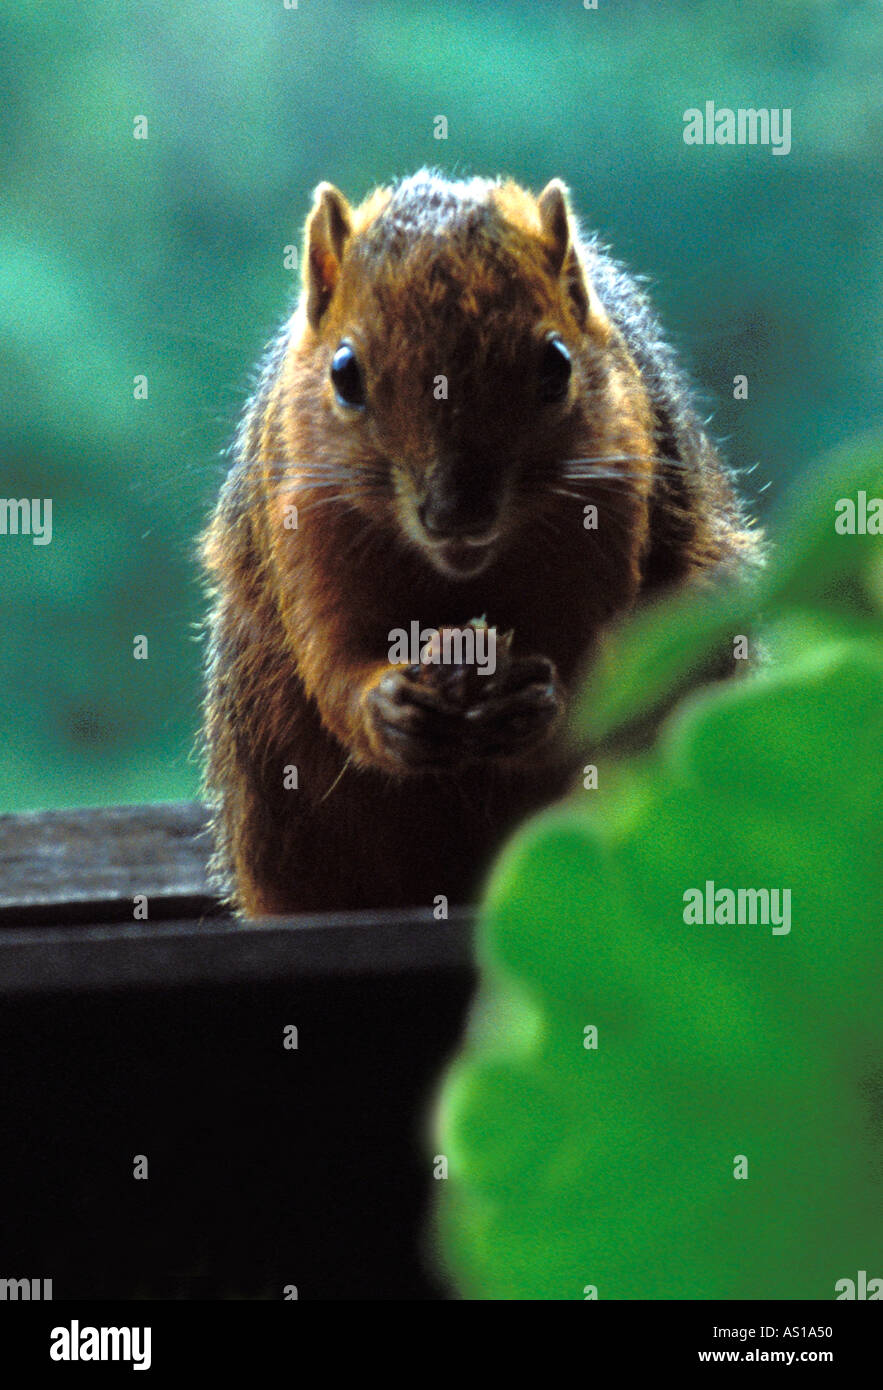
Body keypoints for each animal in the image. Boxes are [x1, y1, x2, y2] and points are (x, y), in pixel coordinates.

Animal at [198, 168, 762, 917]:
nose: (454, 512)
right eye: (344, 372)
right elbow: (332, 660)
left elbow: (600, 667)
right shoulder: (307, 517)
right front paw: (385, 707)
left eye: (555, 365)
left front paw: (542, 703)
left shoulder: (607, 504)